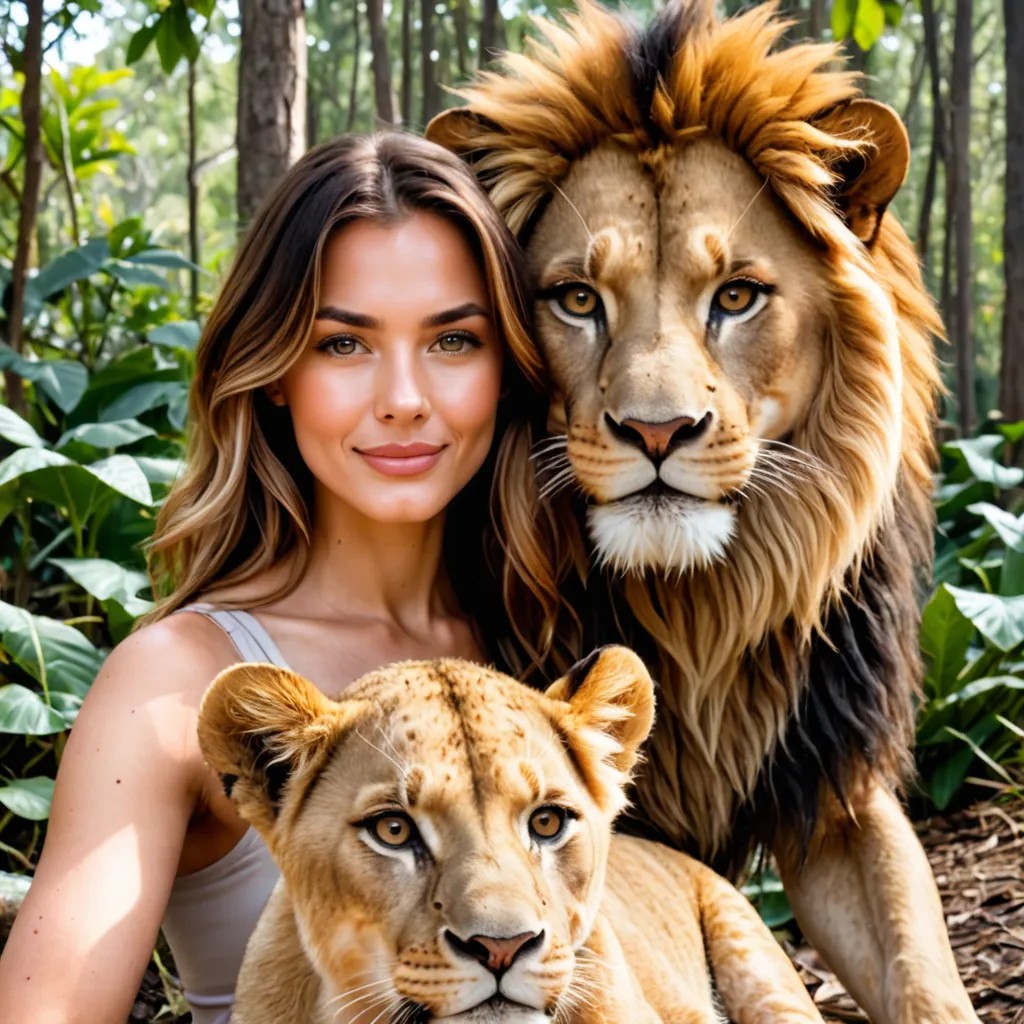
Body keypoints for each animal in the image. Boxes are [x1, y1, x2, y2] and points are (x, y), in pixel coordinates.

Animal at [425, 3, 978, 1022]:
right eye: (576, 299)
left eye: (737, 296)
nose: (657, 430)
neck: (698, 609)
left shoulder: (832, 782)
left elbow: (925, 977)